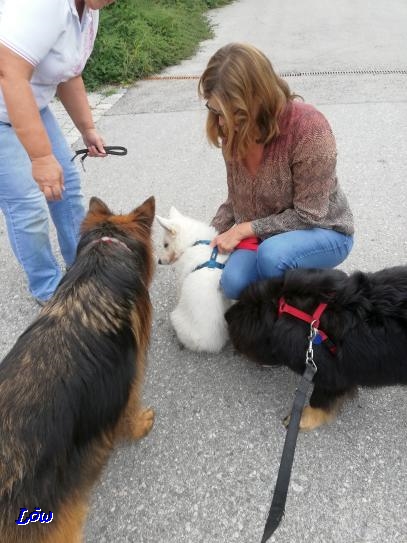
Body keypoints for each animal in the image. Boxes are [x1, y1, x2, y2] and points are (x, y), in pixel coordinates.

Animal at [157, 207, 233, 352]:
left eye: (165, 244)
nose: (158, 261)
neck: (195, 242)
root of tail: (213, 344)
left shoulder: (182, 279)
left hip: (176, 318)